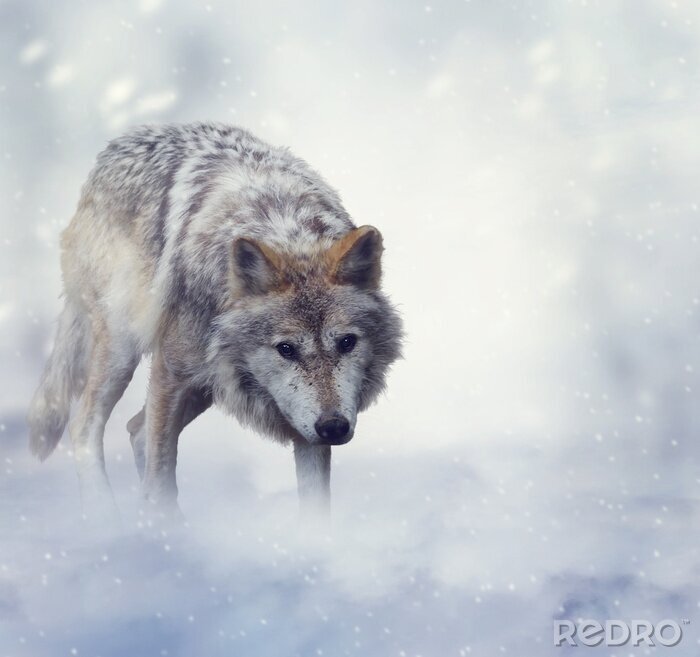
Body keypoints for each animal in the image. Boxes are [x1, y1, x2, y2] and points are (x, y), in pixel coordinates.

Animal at [27, 122, 402, 520]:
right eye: (286, 349)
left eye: (346, 342)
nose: (333, 427)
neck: (285, 233)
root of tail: (113, 150)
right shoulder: (171, 374)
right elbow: (160, 478)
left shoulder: (301, 422)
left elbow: (316, 508)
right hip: (123, 349)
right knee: (85, 424)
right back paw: (107, 516)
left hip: (206, 384)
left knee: (136, 429)